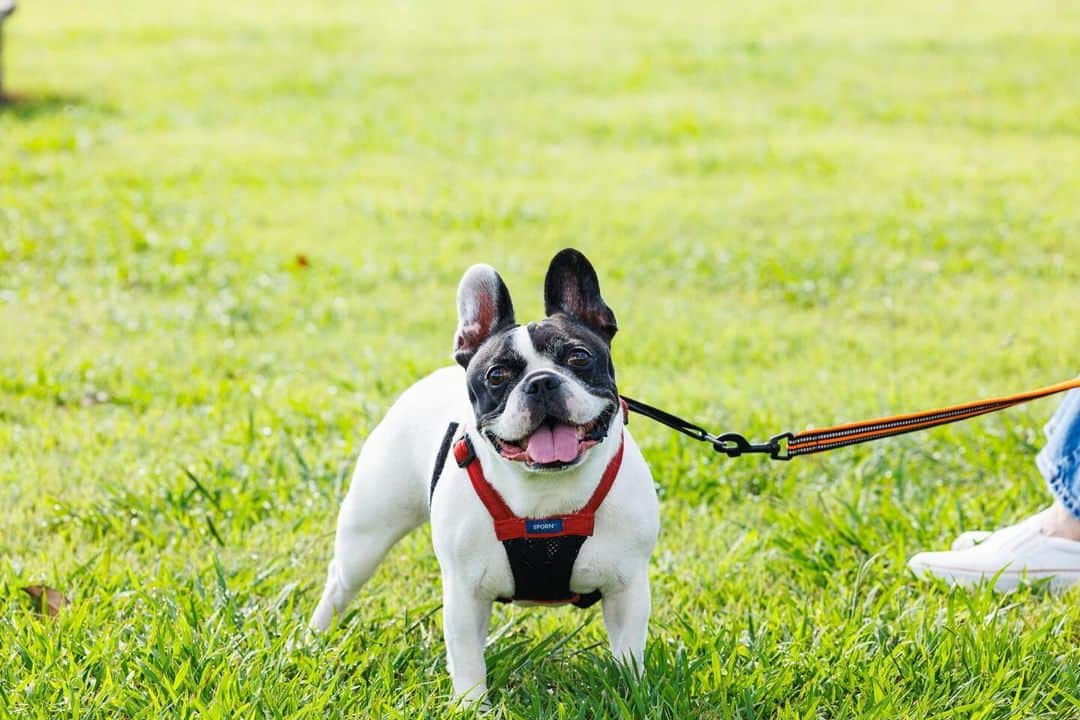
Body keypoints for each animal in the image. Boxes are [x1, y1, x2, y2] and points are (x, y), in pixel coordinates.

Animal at [311, 249, 656, 703]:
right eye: (497, 375)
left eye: (579, 357)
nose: (541, 382)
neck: (548, 492)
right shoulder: (464, 593)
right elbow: (468, 662)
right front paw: (472, 706)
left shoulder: (627, 588)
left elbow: (628, 654)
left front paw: (632, 694)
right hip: (365, 536)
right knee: (338, 585)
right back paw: (311, 639)